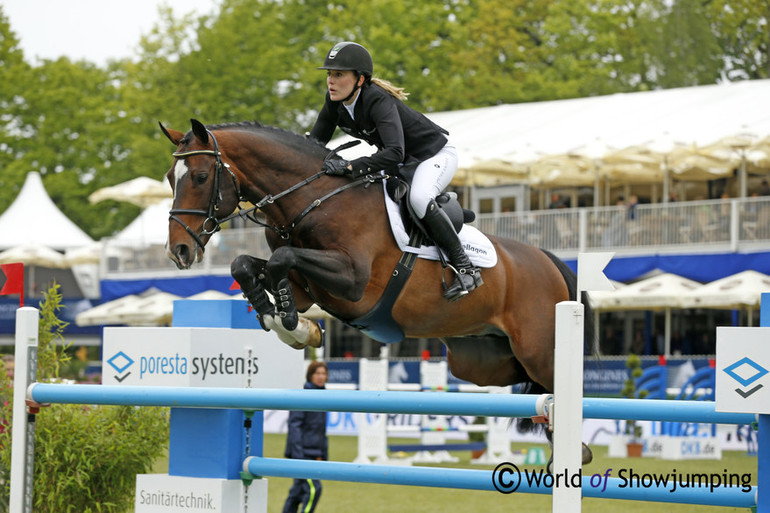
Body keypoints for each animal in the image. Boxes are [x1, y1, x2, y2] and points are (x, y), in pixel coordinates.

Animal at [160, 119, 592, 464]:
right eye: (169, 177)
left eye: (200, 177)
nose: (179, 251)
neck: (310, 199)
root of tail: (548, 259)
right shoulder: (306, 288)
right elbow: (247, 266)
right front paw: (292, 326)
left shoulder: (352, 281)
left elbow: (282, 258)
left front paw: (294, 325)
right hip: (481, 361)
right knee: (530, 386)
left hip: (536, 348)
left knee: (560, 382)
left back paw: (575, 450)